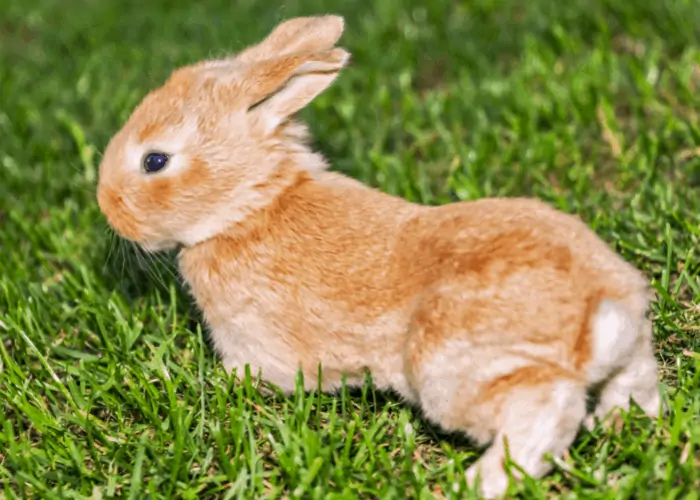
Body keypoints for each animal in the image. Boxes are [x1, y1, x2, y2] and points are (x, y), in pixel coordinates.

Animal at [97, 15, 660, 500]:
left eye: (155, 161)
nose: (106, 203)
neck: (251, 206)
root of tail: (599, 309)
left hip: (450, 369)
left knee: (543, 415)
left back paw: (476, 482)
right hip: (626, 351)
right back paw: (622, 423)